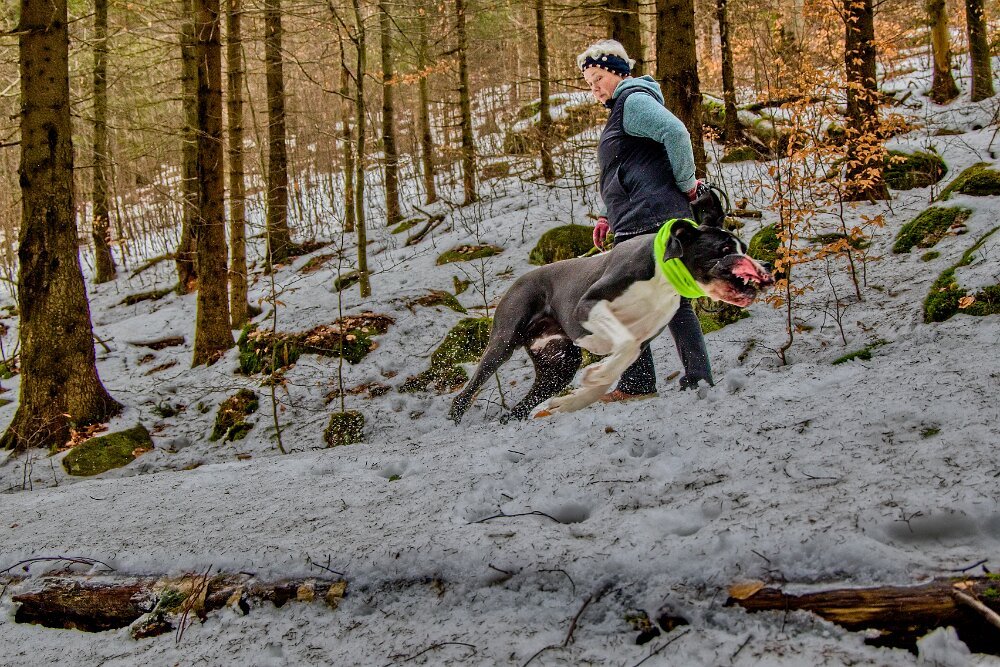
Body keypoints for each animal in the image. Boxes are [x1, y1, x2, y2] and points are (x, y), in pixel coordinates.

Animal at [448, 218, 774, 423]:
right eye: (724, 249)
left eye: (743, 248)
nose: (765, 265)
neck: (664, 276)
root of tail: (517, 280)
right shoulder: (587, 307)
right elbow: (621, 344)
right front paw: (595, 374)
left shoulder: (643, 339)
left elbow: (621, 359)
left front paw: (572, 399)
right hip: (504, 342)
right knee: (467, 391)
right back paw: (456, 418)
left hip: (558, 366)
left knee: (522, 404)